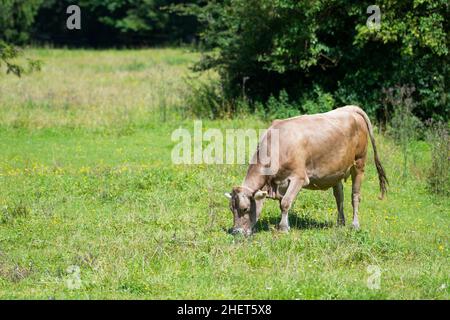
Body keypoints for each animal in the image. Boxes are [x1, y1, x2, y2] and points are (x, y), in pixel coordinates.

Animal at [225, 105, 386, 235]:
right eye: (231, 209)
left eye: (245, 208)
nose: (236, 232)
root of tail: (350, 108)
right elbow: (282, 203)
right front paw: (284, 225)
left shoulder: (299, 177)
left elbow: (285, 203)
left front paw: (283, 228)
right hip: (336, 171)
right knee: (339, 196)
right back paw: (340, 222)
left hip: (359, 163)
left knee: (355, 196)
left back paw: (355, 224)